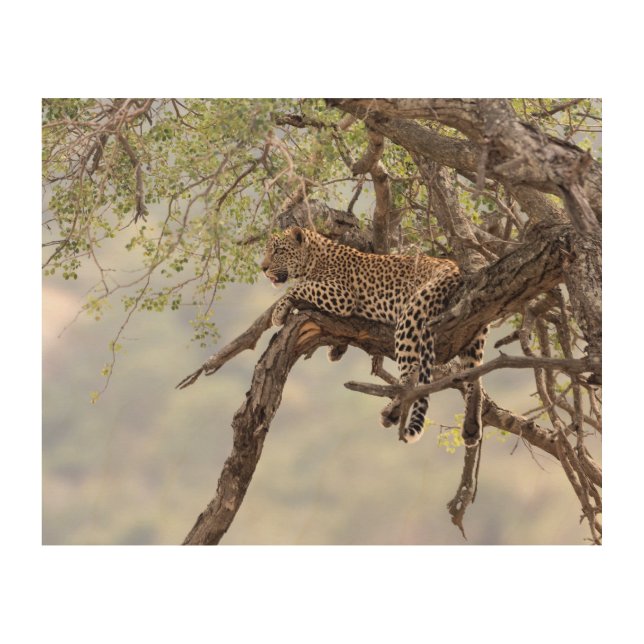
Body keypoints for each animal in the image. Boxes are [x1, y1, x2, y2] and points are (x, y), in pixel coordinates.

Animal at [260, 225, 488, 446]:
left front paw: (278, 313)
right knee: (474, 375)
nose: (263, 268)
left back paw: (392, 411)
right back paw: (471, 425)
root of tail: (454, 268)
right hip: (472, 327)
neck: (313, 258)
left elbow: (299, 287)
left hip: (411, 314)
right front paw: (336, 350)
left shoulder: (341, 294)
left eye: (278, 251)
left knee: (411, 377)